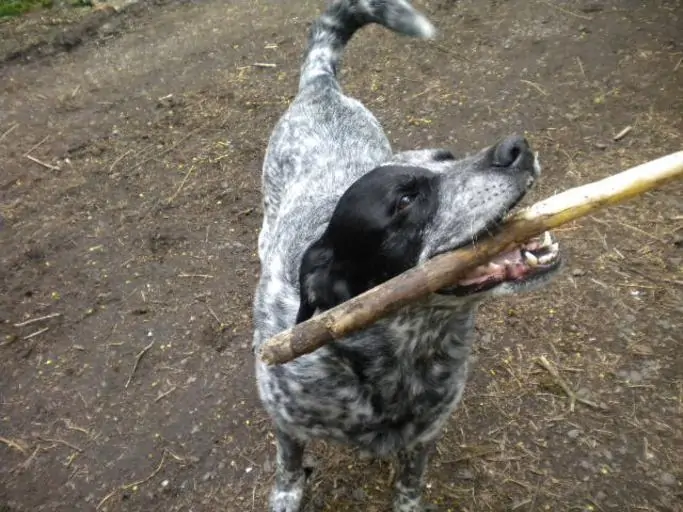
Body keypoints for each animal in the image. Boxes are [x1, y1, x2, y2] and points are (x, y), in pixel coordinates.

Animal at [254, 1, 564, 512]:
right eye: (404, 200)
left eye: (449, 156)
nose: (517, 147)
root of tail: (321, 86)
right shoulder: (285, 415)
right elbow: (289, 464)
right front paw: (286, 493)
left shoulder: (426, 433)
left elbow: (410, 481)